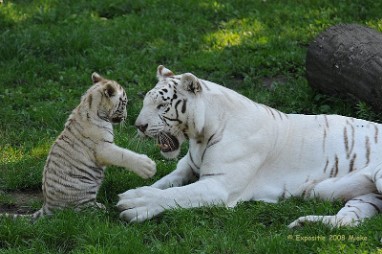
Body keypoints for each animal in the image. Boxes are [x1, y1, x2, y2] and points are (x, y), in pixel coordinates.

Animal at [2, 72, 155, 219]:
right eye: (124, 103)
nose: (126, 116)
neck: (89, 104)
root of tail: (48, 206)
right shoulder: (103, 148)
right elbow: (124, 155)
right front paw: (148, 167)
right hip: (83, 191)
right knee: (82, 211)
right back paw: (103, 209)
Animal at [117, 65, 382, 226]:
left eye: (162, 105)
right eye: (145, 102)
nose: (138, 126)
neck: (201, 136)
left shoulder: (219, 186)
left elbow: (176, 194)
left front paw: (135, 203)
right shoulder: (185, 169)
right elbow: (162, 184)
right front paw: (134, 193)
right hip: (364, 199)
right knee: (348, 221)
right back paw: (301, 223)